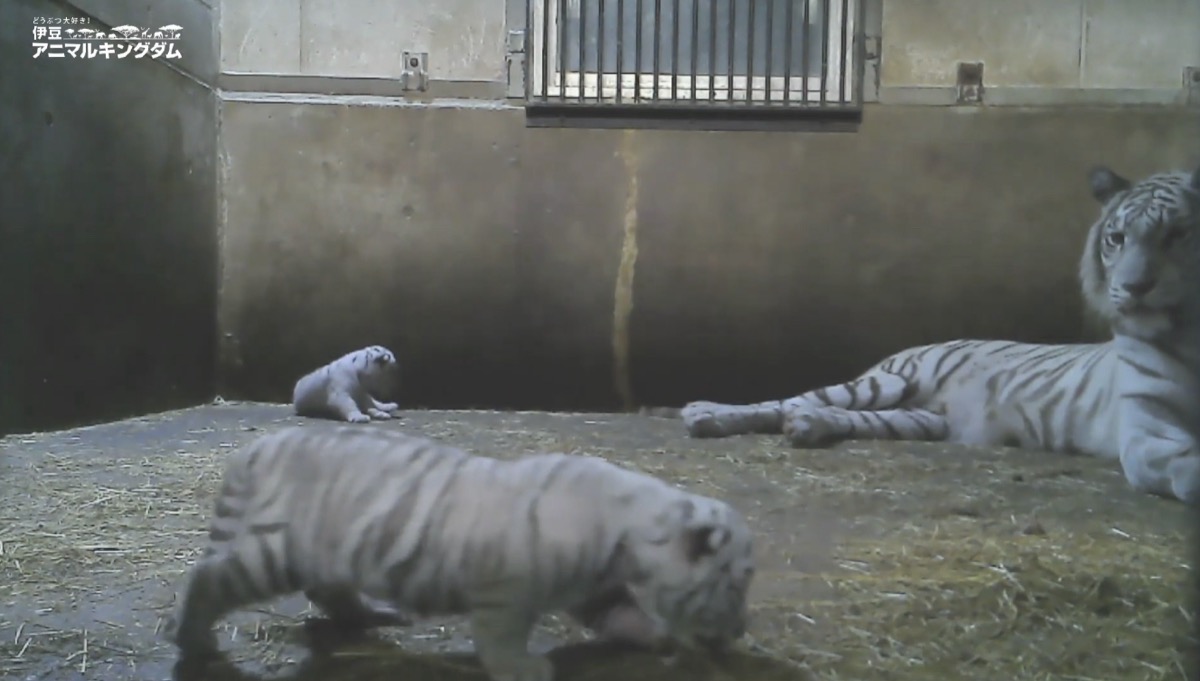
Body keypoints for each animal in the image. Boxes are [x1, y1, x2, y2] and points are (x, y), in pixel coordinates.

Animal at [164, 422, 753, 676]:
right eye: (734, 586)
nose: (741, 633)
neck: (627, 536)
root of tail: (256, 447)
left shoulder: (597, 589)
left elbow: (623, 615)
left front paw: (656, 637)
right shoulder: (505, 593)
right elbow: (502, 639)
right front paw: (526, 669)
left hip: (326, 552)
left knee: (328, 590)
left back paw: (373, 615)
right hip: (274, 550)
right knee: (210, 577)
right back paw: (194, 641)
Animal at [676, 163, 1200, 505]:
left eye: (1177, 235)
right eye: (1117, 239)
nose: (1133, 287)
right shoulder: (1146, 431)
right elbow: (1186, 465)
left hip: (918, 419)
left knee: (826, 412)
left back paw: (807, 427)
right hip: (887, 382)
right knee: (786, 399)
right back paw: (707, 414)